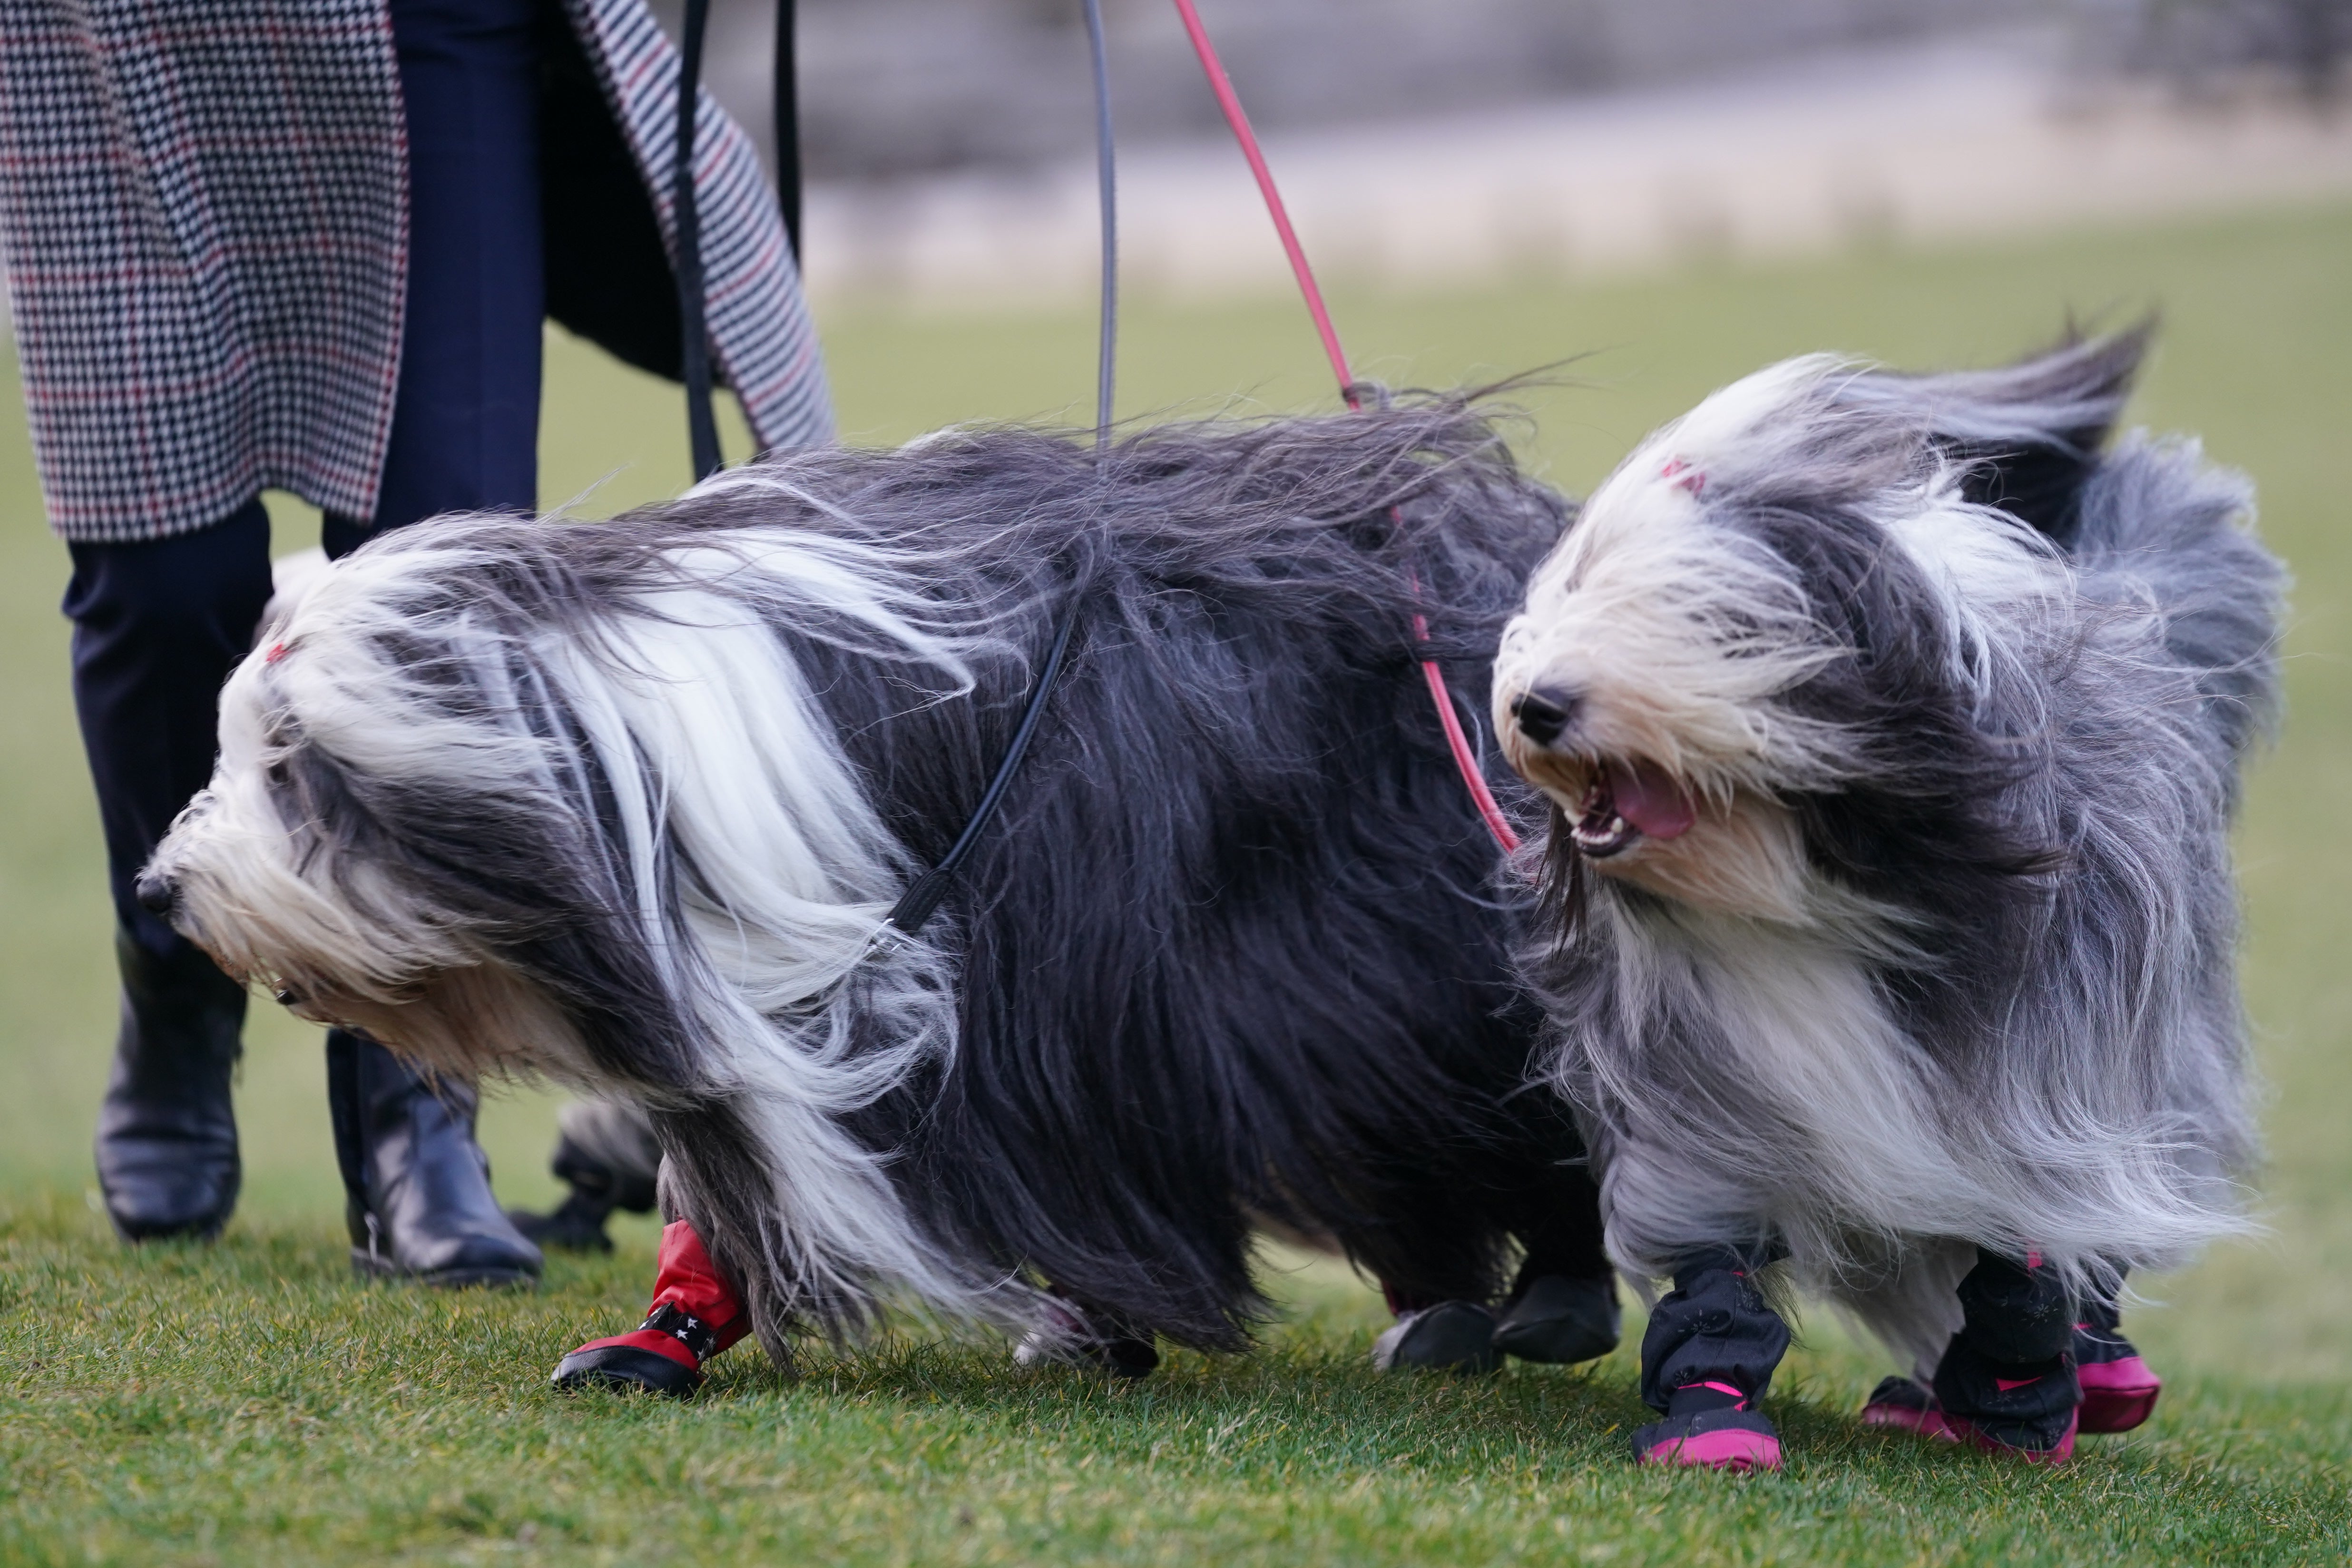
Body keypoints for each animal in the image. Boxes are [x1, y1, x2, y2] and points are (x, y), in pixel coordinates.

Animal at [147, 402, 1627, 1382]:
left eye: (289, 768)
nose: (162, 889)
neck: (621, 750)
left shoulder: (1023, 980)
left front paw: (1096, 1320)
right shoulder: (764, 1005)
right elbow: (732, 1164)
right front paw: (670, 1332)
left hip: (1398, 935)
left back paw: (1540, 1294)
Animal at [1486, 331, 2276, 1476]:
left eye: (1704, 619)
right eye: (1578, 591)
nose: (1536, 704)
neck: (1800, 892)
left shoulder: (2037, 1080)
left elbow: (2023, 1256)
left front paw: (2017, 1399)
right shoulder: (1692, 1081)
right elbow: (1712, 1256)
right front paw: (1710, 1415)